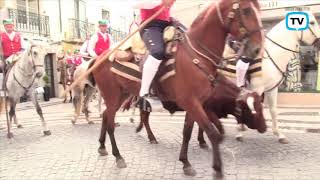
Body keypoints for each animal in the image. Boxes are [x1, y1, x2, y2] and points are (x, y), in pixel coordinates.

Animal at [89, 0, 264, 177]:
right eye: (247, 10)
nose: (257, 49)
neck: (196, 55)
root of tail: (100, 57)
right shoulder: (192, 103)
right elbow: (212, 132)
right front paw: (217, 169)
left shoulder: (196, 104)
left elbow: (187, 132)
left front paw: (185, 162)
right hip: (111, 95)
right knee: (111, 123)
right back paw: (118, 156)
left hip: (121, 95)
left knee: (106, 116)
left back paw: (102, 146)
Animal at [230, 11, 320, 143]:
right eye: (312, 22)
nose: (319, 43)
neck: (269, 57)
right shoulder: (256, 89)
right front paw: (241, 131)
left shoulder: (271, 89)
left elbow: (273, 110)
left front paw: (279, 134)